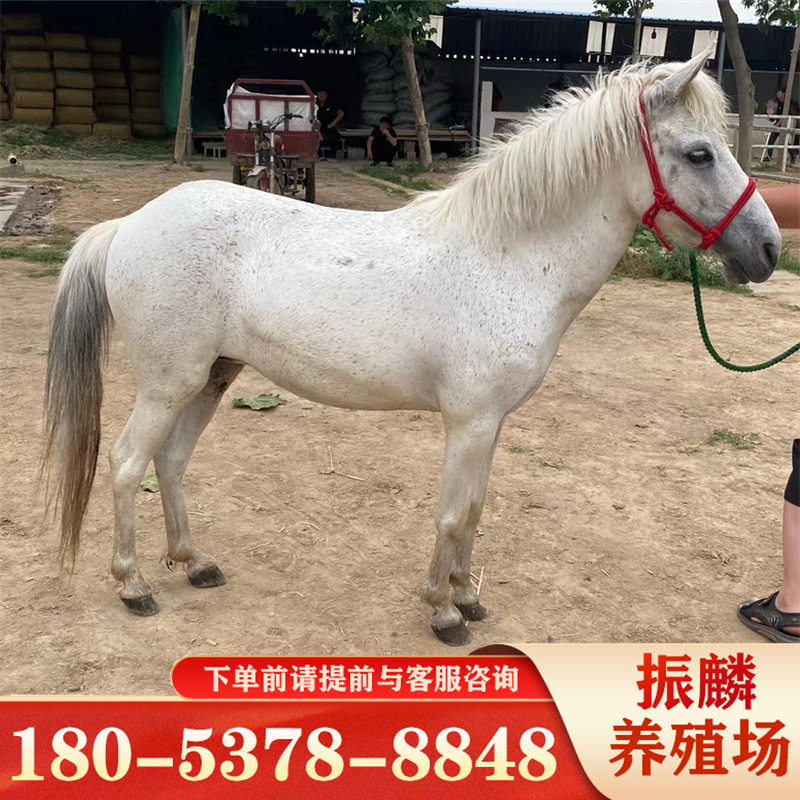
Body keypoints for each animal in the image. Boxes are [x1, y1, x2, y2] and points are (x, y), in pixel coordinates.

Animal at [42, 52, 781, 646]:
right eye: (699, 154)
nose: (770, 249)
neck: (507, 256)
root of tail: (128, 225)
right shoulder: (470, 421)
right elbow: (452, 514)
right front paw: (443, 612)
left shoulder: (492, 424)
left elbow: (475, 510)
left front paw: (469, 598)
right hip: (170, 381)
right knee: (127, 462)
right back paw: (134, 586)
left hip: (213, 376)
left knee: (170, 461)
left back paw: (196, 564)